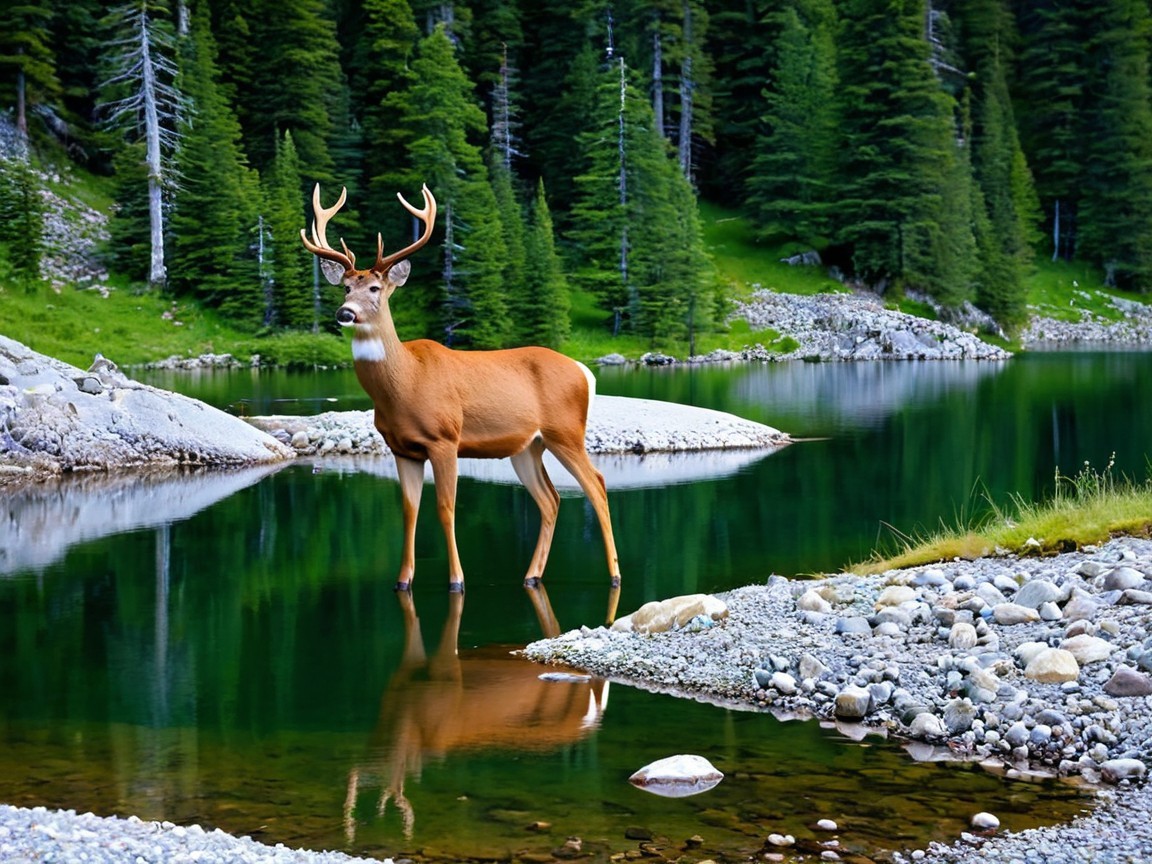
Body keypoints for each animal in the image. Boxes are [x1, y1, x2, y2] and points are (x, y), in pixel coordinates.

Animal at [300, 184, 622, 623]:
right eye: (345, 287)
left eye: (375, 289)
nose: (344, 313)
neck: (406, 382)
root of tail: (584, 372)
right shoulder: (401, 448)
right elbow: (410, 509)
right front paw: (402, 582)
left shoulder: (445, 439)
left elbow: (445, 507)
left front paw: (457, 581)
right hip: (527, 447)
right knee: (551, 498)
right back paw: (531, 576)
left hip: (566, 431)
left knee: (597, 485)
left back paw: (614, 576)